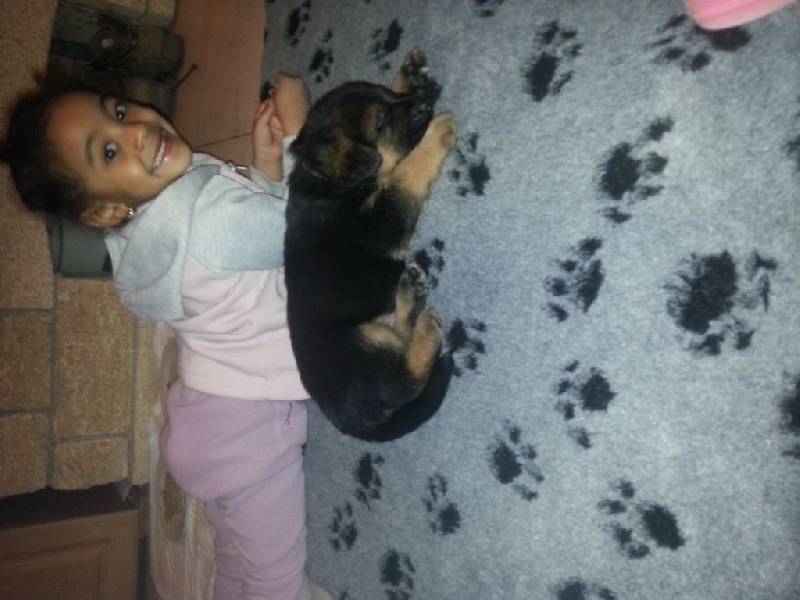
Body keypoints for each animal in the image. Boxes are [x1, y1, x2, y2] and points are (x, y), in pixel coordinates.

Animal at [284, 50, 457, 442]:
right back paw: (426, 326)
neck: (332, 184)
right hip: (365, 345)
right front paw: (437, 133)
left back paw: (411, 296)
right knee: (406, 379)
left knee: (403, 338)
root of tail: (357, 423)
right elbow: (407, 173)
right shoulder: (382, 220)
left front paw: (410, 72)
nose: (426, 101)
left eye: (388, 97)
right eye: (380, 122)